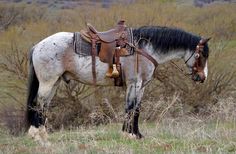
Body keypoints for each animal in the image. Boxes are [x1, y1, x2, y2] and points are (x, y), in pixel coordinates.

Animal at [25, 25, 210, 144]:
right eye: (202, 55)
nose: (202, 77)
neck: (143, 49)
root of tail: (37, 46)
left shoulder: (141, 87)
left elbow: (136, 110)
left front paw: (137, 135)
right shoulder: (134, 84)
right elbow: (130, 108)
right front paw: (128, 135)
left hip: (54, 83)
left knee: (44, 106)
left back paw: (43, 135)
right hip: (47, 83)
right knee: (38, 104)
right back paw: (36, 135)